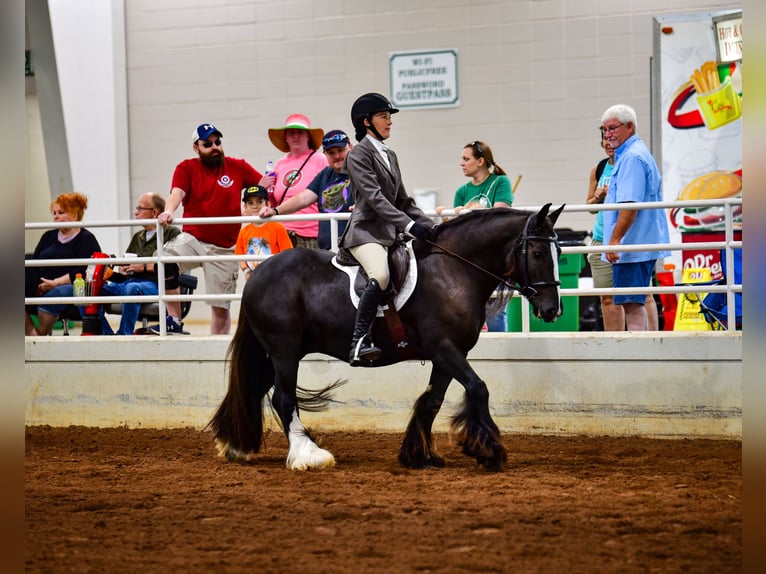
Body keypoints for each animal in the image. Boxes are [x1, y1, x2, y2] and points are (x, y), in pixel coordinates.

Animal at [207, 205, 568, 470]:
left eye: (559, 254)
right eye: (538, 253)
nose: (552, 309)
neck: (453, 270)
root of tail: (259, 274)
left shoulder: (447, 355)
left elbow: (432, 401)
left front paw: (419, 455)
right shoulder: (445, 348)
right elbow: (479, 388)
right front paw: (489, 450)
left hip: (276, 352)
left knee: (256, 388)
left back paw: (236, 446)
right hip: (284, 350)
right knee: (283, 399)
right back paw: (308, 456)